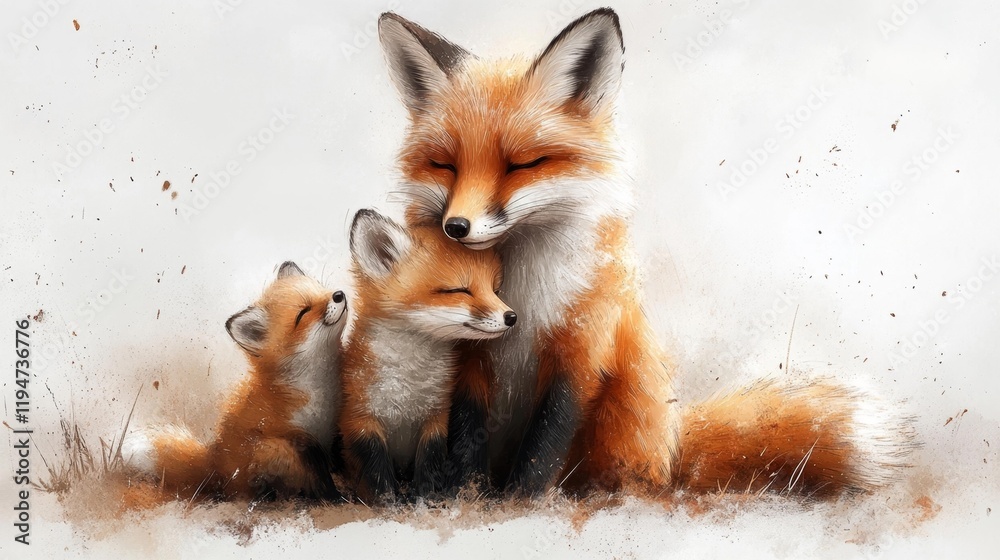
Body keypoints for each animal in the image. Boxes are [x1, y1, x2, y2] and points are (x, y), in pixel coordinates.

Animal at [122, 262, 348, 503]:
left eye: (321, 289)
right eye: (303, 313)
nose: (339, 295)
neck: (320, 390)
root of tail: (213, 465)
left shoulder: (332, 432)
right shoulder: (300, 440)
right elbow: (322, 479)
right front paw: (337, 498)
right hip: (271, 449)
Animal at [338, 208, 516, 502]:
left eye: (496, 290)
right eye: (459, 290)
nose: (511, 317)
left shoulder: (435, 419)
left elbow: (429, 467)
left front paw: (425, 501)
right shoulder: (359, 420)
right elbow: (378, 477)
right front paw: (389, 505)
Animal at [377, 8, 914, 498]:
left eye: (523, 164)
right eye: (444, 164)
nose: (456, 227)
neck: (522, 295)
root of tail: (672, 449)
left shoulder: (582, 349)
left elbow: (545, 442)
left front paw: (516, 503)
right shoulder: (466, 356)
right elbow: (465, 436)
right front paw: (462, 498)